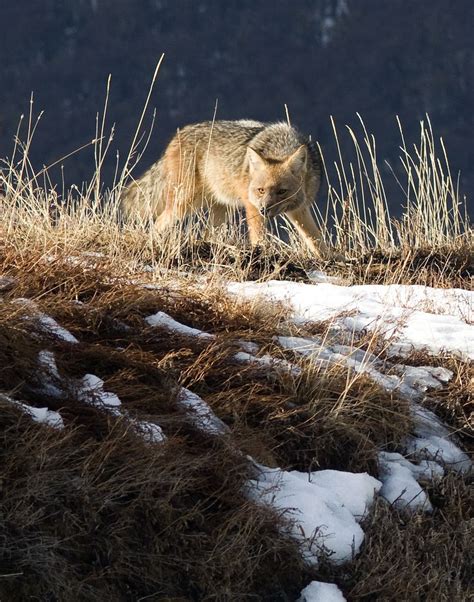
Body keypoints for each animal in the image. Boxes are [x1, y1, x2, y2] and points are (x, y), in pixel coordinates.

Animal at [122, 118, 328, 256]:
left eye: (282, 191)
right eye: (261, 190)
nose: (264, 209)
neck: (281, 144)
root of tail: (178, 134)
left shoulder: (300, 210)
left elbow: (316, 239)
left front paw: (327, 260)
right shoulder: (251, 205)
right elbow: (259, 237)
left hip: (220, 212)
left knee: (206, 234)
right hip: (183, 205)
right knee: (158, 222)